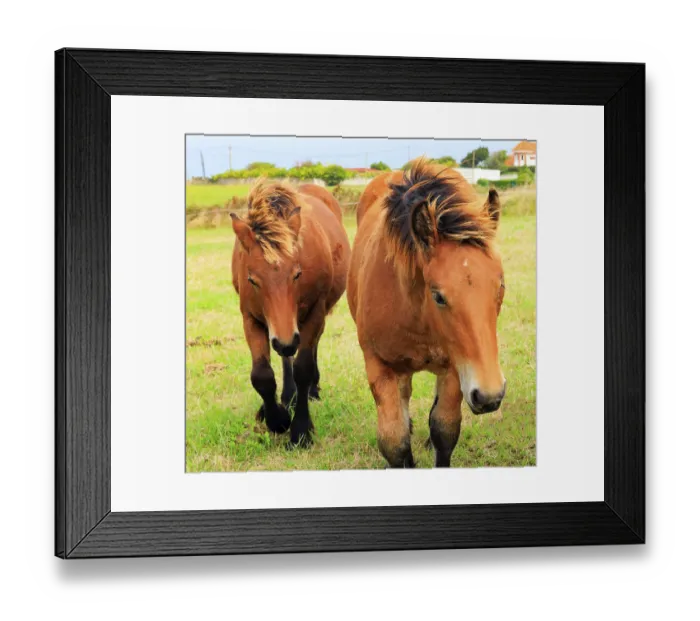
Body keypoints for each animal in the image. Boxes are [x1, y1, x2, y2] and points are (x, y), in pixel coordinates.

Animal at [231, 180, 350, 447]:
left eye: (297, 274)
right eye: (252, 280)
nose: (285, 341)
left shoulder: (314, 313)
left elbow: (303, 367)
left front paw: (300, 430)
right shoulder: (251, 318)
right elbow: (262, 375)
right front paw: (276, 418)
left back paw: (311, 390)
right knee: (286, 358)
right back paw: (288, 396)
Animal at [347, 158, 506, 468]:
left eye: (501, 286)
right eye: (438, 296)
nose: (489, 395)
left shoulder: (457, 366)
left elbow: (444, 429)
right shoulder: (380, 366)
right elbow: (394, 442)